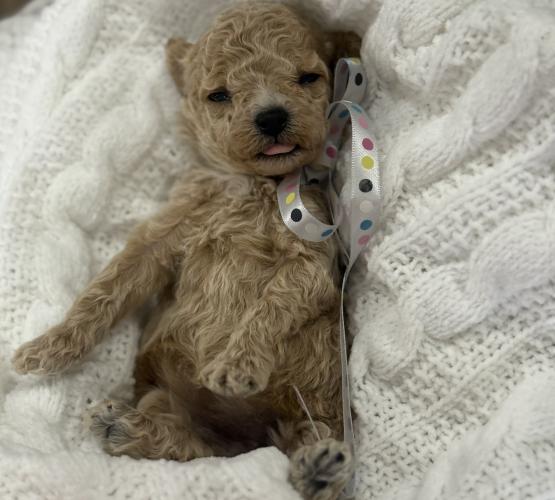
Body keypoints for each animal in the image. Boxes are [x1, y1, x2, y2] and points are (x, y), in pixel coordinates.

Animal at [12, 3, 361, 498]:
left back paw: (319, 468)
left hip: (319, 412)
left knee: (306, 447)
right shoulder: (162, 234)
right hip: (168, 399)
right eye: (218, 95)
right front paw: (47, 347)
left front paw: (236, 364)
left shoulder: (313, 260)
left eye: (308, 77)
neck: (255, 186)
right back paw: (123, 427)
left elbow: (272, 304)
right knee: (189, 444)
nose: (271, 117)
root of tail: (249, 441)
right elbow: (104, 290)